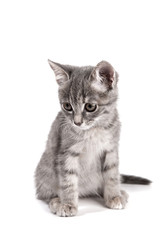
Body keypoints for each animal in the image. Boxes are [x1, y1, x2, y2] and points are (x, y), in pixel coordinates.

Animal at [34, 60, 151, 218]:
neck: (93, 130)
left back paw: (119, 193)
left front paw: (114, 196)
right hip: (45, 171)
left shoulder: (111, 149)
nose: (77, 122)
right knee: (45, 193)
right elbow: (68, 180)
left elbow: (112, 175)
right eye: (67, 106)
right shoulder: (67, 152)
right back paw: (56, 201)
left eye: (90, 106)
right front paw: (68, 204)